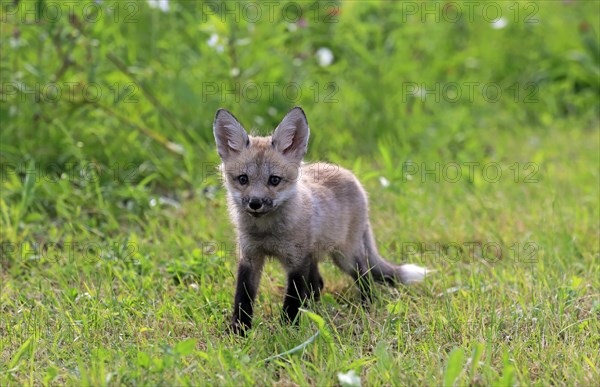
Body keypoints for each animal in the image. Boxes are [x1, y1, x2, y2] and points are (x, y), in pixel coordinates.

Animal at [211, 107, 426, 334]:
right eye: (243, 179)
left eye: (274, 180)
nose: (255, 203)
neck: (266, 232)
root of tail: (350, 176)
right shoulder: (250, 257)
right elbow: (243, 298)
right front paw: (239, 332)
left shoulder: (297, 261)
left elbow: (292, 300)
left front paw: (288, 331)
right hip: (315, 256)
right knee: (318, 284)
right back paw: (314, 310)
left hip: (345, 256)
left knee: (365, 277)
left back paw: (366, 307)